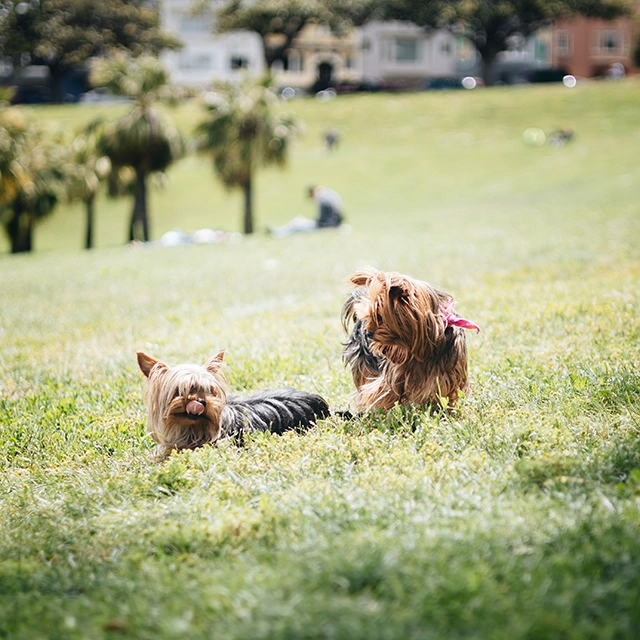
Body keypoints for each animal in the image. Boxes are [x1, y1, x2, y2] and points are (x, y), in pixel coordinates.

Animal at [342, 267, 480, 412]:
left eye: (379, 317)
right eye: (369, 316)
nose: (367, 333)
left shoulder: (448, 371)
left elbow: (442, 390)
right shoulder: (394, 373)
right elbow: (384, 391)